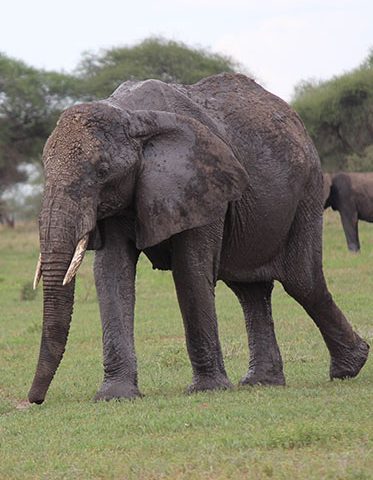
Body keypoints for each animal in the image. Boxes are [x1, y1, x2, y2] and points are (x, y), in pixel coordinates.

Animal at [27, 73, 368, 404]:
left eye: (102, 170)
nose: (35, 400)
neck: (131, 115)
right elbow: (111, 272)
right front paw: (115, 397)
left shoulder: (203, 184)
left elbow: (190, 270)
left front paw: (208, 390)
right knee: (250, 290)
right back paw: (262, 382)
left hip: (307, 190)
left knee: (302, 282)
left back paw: (349, 367)